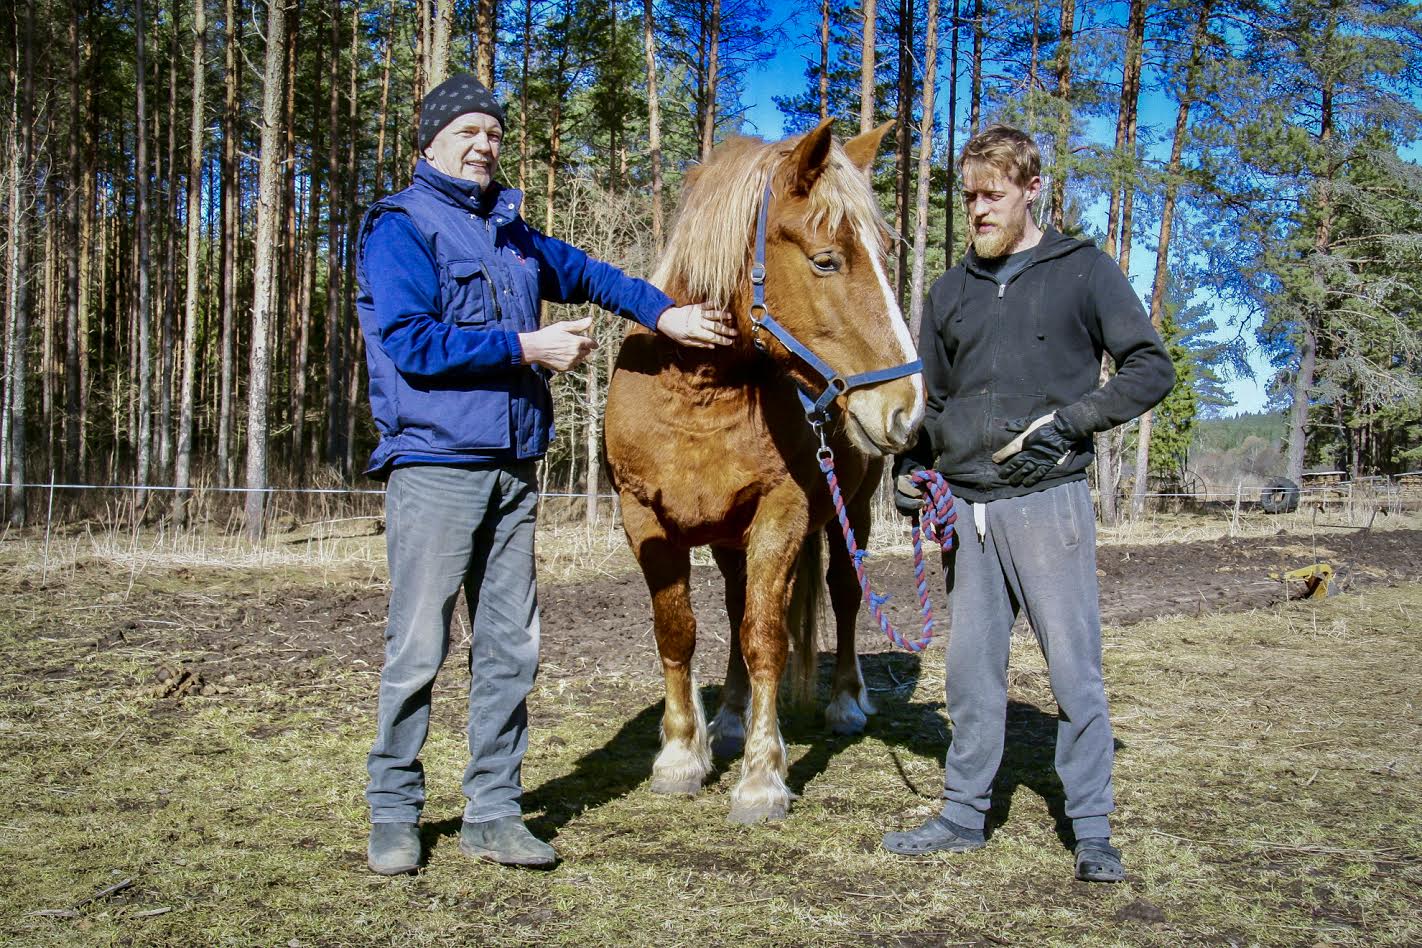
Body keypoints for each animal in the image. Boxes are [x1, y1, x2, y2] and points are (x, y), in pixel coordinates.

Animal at [602, 118, 921, 824]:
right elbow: (679, 630)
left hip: (851, 514)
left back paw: (845, 701)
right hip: (727, 537)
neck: (696, 393)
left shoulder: (783, 512)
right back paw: (727, 718)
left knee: (844, 594)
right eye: (827, 259)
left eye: (887, 253)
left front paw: (761, 778)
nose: (907, 409)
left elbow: (765, 636)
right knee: (732, 602)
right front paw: (681, 755)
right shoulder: (644, 519)